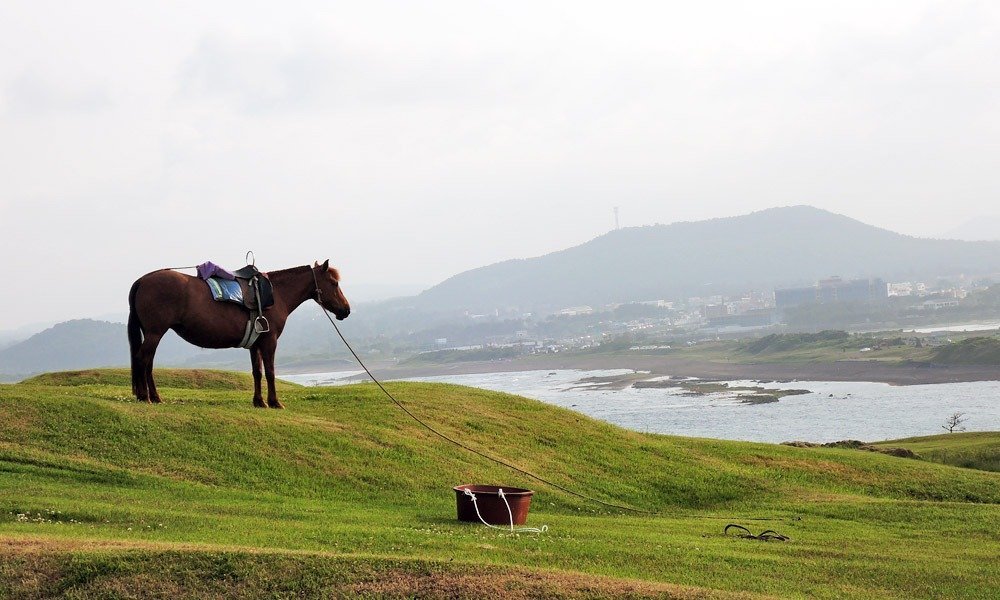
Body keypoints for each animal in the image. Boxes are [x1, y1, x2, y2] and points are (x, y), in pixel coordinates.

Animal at [127, 260, 350, 408]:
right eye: (334, 283)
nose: (346, 310)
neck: (276, 295)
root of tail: (142, 280)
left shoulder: (255, 343)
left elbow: (257, 372)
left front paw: (259, 401)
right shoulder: (269, 342)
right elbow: (270, 372)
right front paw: (274, 402)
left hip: (152, 333)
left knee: (147, 362)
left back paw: (153, 396)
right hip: (155, 333)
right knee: (143, 359)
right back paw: (146, 396)